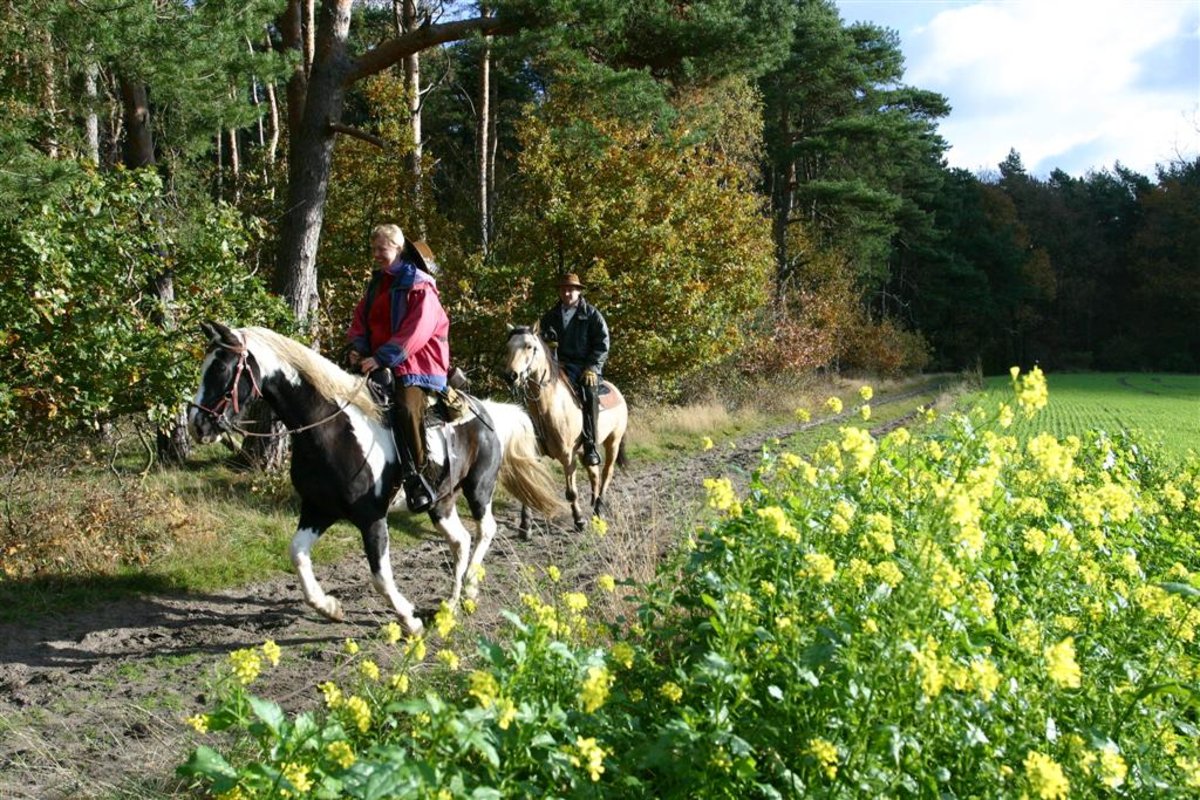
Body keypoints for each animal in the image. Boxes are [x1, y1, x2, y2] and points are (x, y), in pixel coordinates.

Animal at [187, 321, 561, 633]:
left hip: (478, 488)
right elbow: (297, 554)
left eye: (222, 369)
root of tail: (487, 410)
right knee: (461, 540)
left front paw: (410, 620)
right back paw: (451, 604)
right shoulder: (317, 510)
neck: (330, 429)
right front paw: (330, 607)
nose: (197, 424)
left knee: (486, 530)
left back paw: (468, 589)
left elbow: (380, 576)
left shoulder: (371, 518)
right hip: (441, 501)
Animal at [499, 326, 628, 532]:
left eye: (529, 346)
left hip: (613, 442)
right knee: (594, 473)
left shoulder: (568, 456)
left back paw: (598, 510)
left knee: (607, 473)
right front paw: (525, 525)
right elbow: (528, 486)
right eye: (508, 346)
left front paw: (579, 520)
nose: (511, 376)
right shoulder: (533, 454)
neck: (548, 408)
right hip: (586, 450)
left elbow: (571, 492)